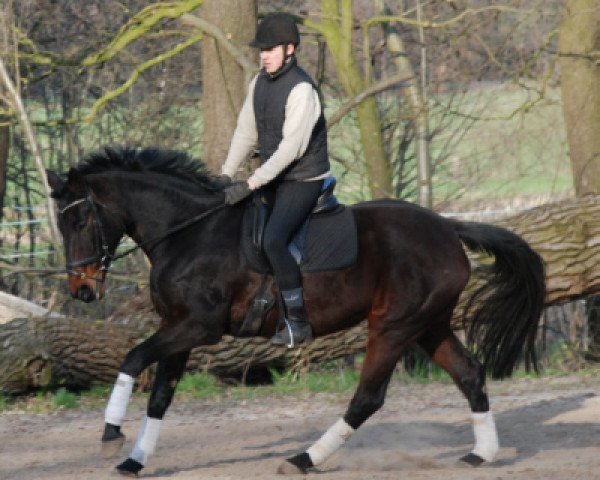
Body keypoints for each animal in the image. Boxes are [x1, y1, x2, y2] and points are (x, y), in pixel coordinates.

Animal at [44, 146, 548, 476]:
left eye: (81, 219)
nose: (82, 290)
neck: (189, 233)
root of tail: (446, 227)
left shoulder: (197, 328)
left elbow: (131, 359)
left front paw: (110, 437)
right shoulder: (178, 330)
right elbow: (161, 396)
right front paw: (134, 461)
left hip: (393, 326)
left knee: (368, 397)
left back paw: (305, 458)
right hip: (429, 325)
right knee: (469, 374)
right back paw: (482, 454)